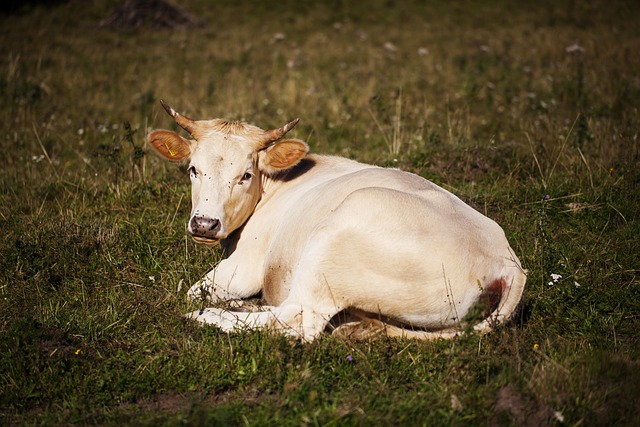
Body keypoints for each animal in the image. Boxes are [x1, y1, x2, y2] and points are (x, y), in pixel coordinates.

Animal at [149, 100, 524, 342]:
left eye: (245, 175)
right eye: (193, 169)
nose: (204, 224)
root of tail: (508, 263)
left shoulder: (242, 267)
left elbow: (193, 292)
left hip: (332, 245)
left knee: (297, 320)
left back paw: (210, 316)